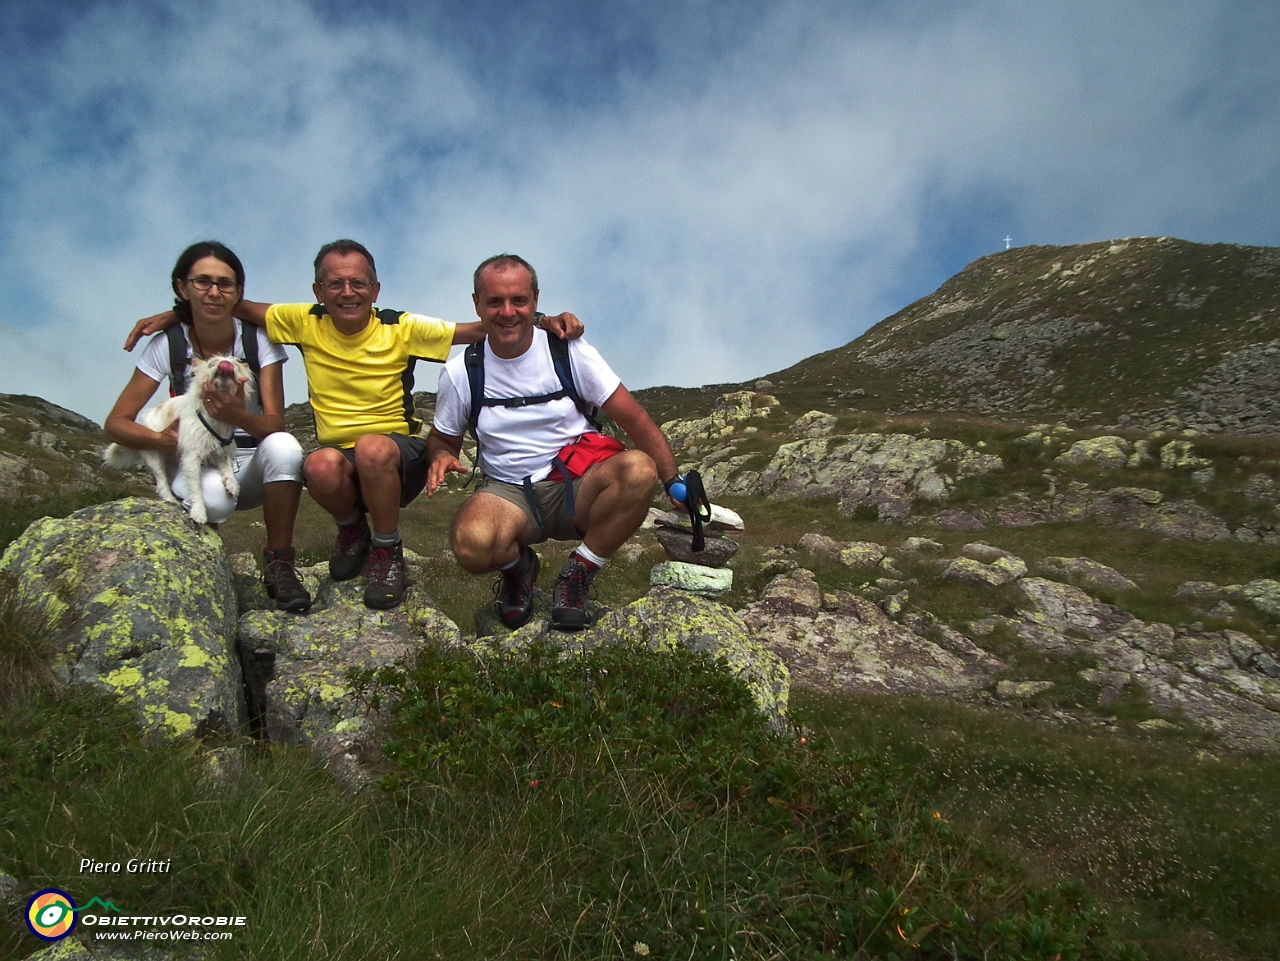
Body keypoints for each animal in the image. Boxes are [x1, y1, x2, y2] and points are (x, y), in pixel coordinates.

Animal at [106, 353, 256, 522]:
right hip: (155, 458)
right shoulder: (192, 458)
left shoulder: (222, 450)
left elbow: (228, 469)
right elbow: (196, 489)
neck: (212, 417)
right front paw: (199, 512)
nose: (225, 365)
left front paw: (232, 485)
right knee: (162, 483)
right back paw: (171, 500)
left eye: (235, 366)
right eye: (211, 364)